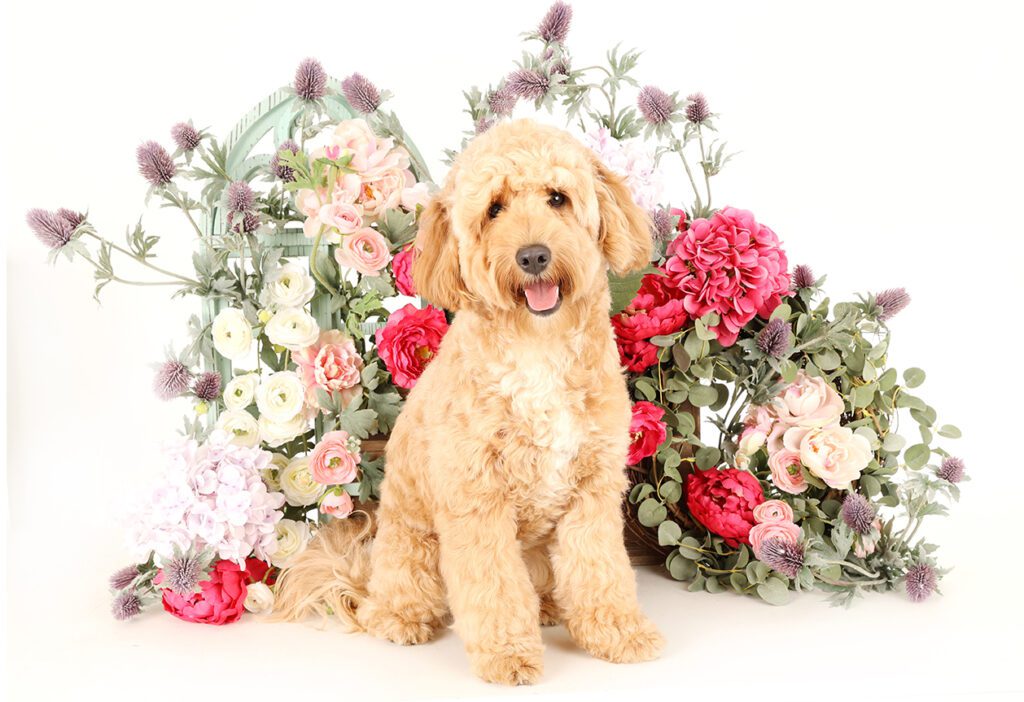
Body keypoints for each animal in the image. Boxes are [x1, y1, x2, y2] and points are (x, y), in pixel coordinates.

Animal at [274, 119, 663, 687]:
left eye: (558, 198)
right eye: (494, 209)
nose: (533, 256)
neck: (537, 348)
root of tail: (367, 585)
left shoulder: (591, 491)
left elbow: (601, 569)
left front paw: (619, 633)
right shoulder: (477, 500)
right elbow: (493, 587)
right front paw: (508, 655)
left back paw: (551, 608)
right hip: (412, 544)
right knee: (406, 596)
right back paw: (401, 619)